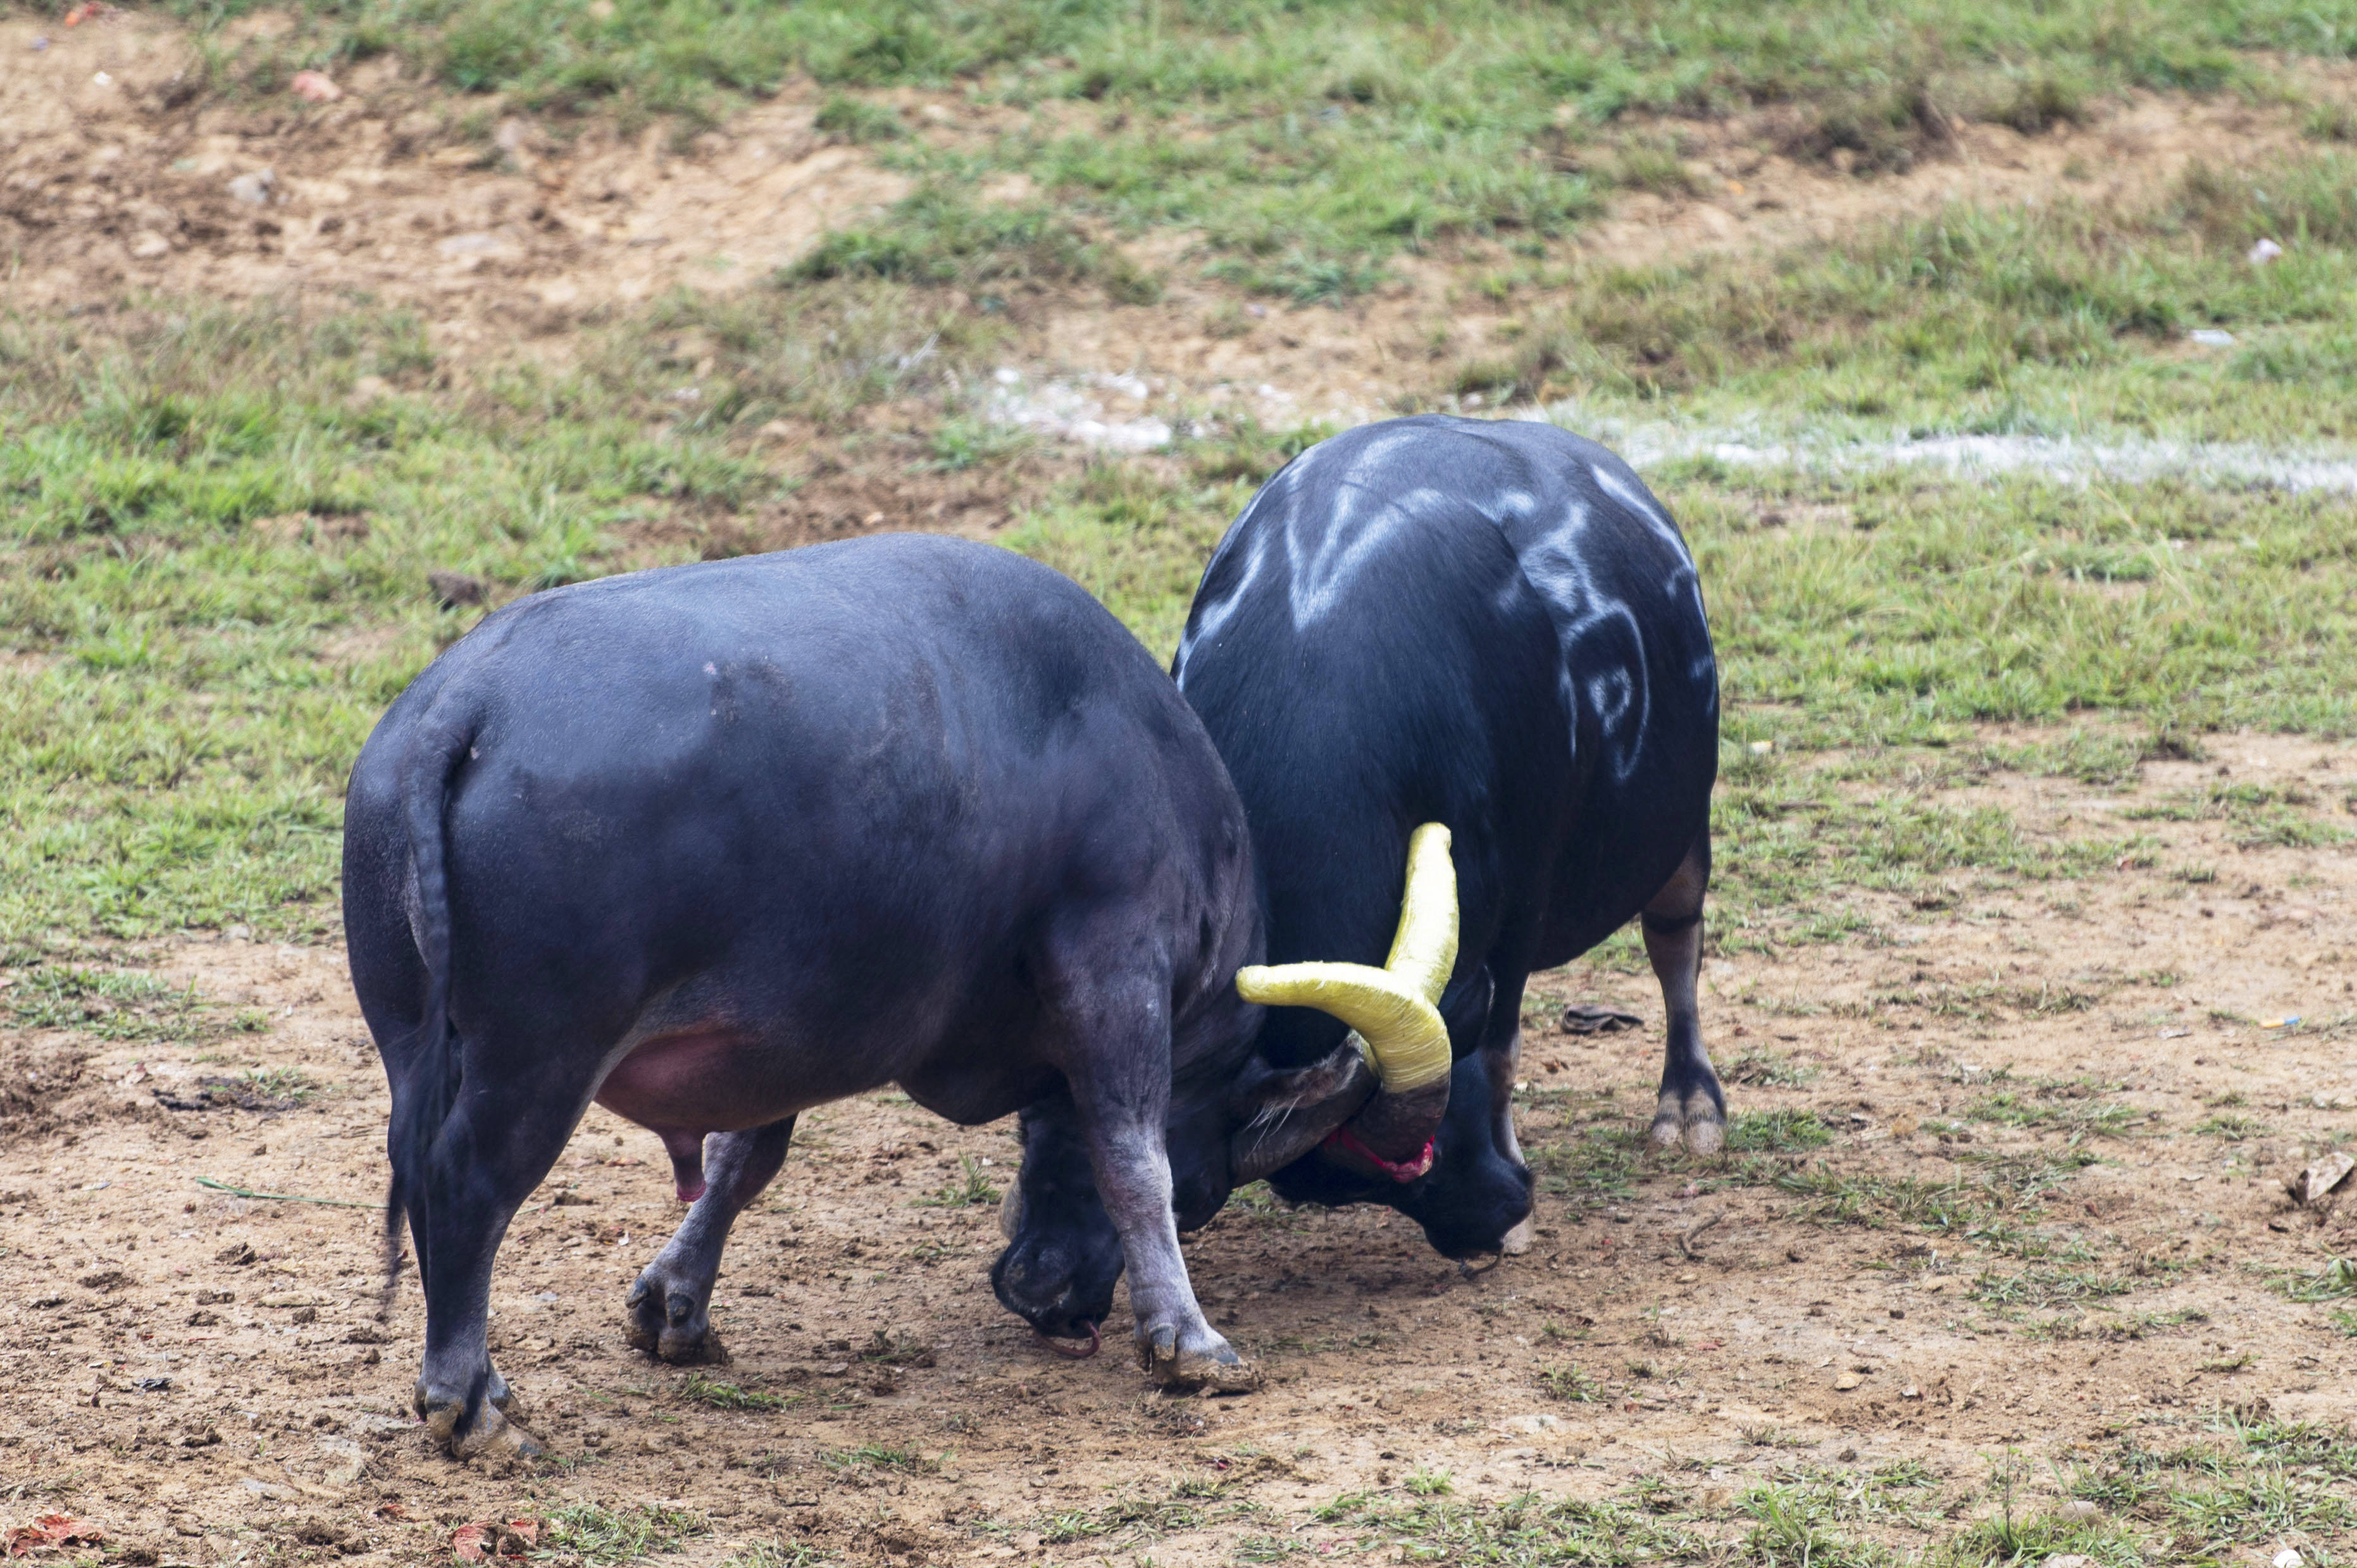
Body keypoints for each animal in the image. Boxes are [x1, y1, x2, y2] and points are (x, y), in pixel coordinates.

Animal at [344, 537, 1452, 1452]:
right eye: (1211, 1192)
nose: (1048, 1299)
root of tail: (464, 708)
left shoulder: (781, 1040)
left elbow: (744, 1160)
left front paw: (674, 1306)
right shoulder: (1117, 964)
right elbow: (1132, 1154)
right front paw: (1190, 1343)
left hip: (412, 1043)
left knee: (419, 1174)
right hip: (539, 1058)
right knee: (467, 1188)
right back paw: (470, 1402)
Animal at [985, 410, 1725, 1339]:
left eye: (1190, 1194)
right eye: (1031, 1132)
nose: (1038, 1285)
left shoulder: (1518, 910)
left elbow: (1502, 1045)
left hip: (1685, 825)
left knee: (1675, 943)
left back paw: (1689, 1110)